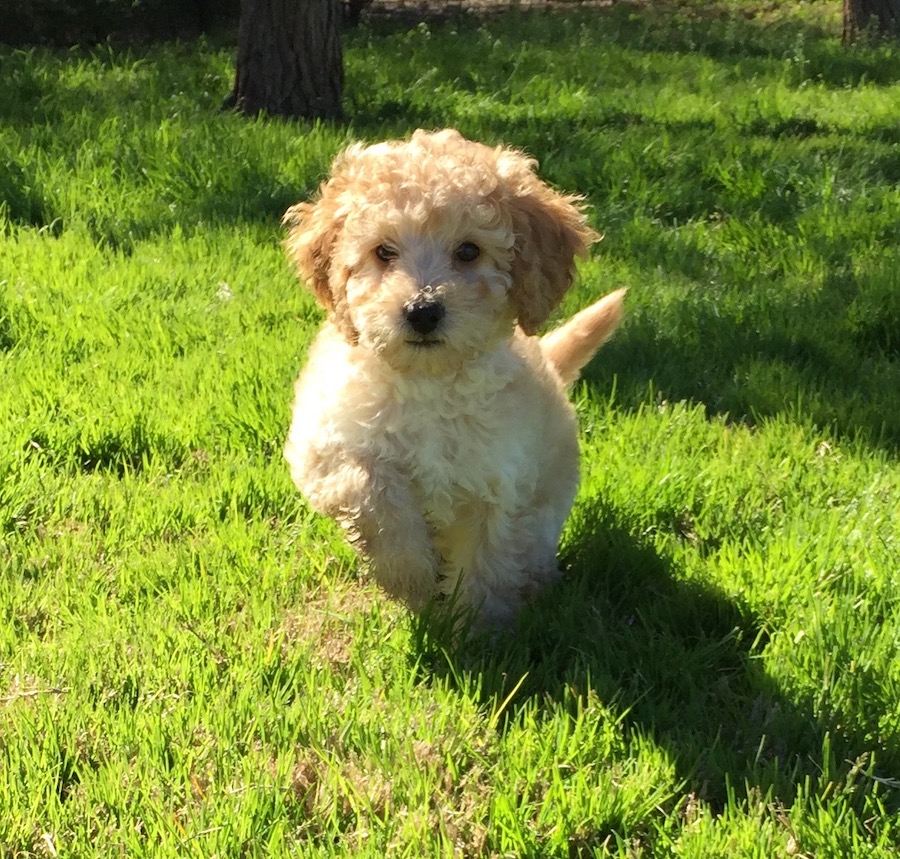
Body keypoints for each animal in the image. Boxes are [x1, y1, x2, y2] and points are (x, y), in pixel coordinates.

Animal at [284, 126, 624, 624]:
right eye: (383, 251)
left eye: (468, 251)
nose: (422, 311)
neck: (429, 382)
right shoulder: (327, 446)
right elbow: (373, 493)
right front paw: (411, 577)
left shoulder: (497, 486)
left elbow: (487, 560)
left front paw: (474, 629)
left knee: (531, 548)